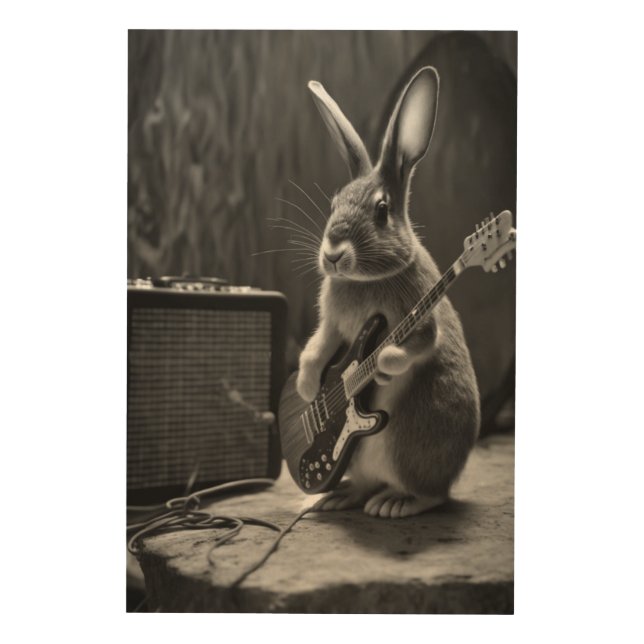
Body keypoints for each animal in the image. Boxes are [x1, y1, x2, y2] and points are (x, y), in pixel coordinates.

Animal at [295, 66, 481, 519]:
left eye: (381, 211)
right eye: (334, 204)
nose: (333, 255)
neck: (364, 280)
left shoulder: (417, 318)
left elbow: (410, 347)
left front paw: (379, 368)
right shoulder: (333, 327)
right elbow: (315, 349)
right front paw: (309, 393)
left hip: (410, 446)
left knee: (432, 495)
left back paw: (396, 503)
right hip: (359, 460)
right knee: (363, 484)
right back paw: (337, 496)